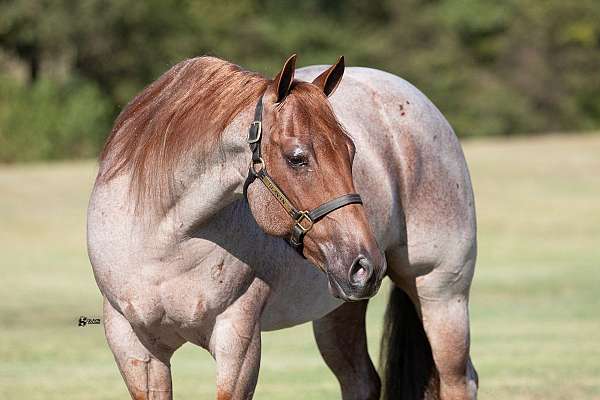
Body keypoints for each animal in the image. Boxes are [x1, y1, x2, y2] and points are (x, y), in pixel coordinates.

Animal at [86, 54, 478, 400]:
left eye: (351, 152)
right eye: (296, 158)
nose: (367, 264)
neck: (165, 243)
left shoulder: (238, 342)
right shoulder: (133, 346)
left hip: (442, 294)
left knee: (459, 379)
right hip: (338, 309)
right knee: (362, 381)